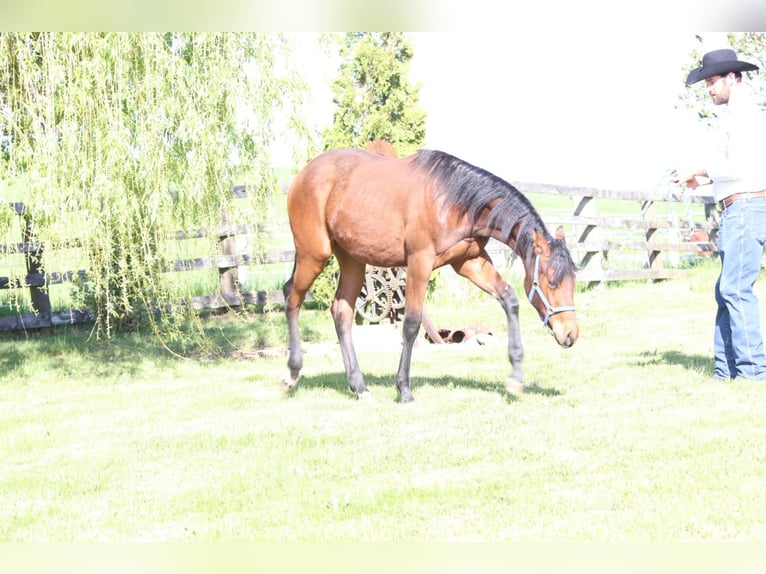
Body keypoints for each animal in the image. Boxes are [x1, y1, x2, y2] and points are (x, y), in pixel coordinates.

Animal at [282, 148, 579, 402]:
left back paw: (359, 387)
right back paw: (292, 374)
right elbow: (412, 324)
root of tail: (302, 176)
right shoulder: (419, 262)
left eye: (573, 282)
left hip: (352, 259)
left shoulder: (468, 261)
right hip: (314, 253)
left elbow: (509, 298)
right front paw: (404, 388)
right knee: (292, 299)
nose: (570, 334)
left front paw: (516, 377)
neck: (454, 200)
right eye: (550, 282)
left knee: (341, 312)